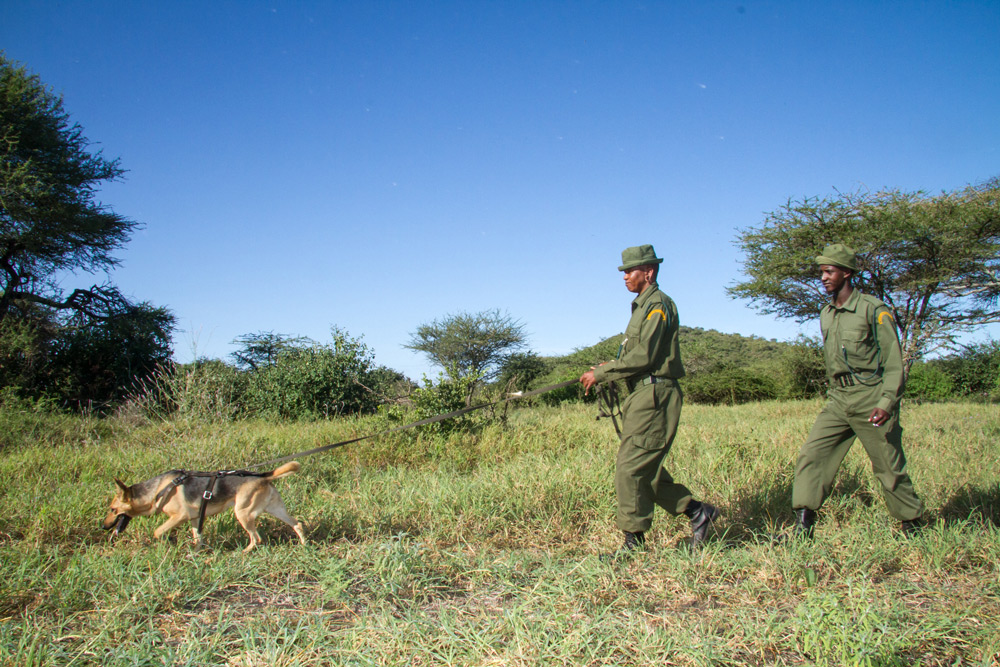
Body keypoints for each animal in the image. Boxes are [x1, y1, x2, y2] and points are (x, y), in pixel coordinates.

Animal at [102, 462, 306, 552]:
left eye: (112, 509)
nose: (103, 527)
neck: (158, 489)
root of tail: (263, 476)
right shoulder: (194, 518)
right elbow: (197, 537)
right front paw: (196, 553)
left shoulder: (180, 516)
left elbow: (157, 531)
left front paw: (168, 545)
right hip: (275, 509)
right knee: (297, 523)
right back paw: (304, 544)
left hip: (242, 514)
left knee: (256, 538)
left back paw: (241, 553)